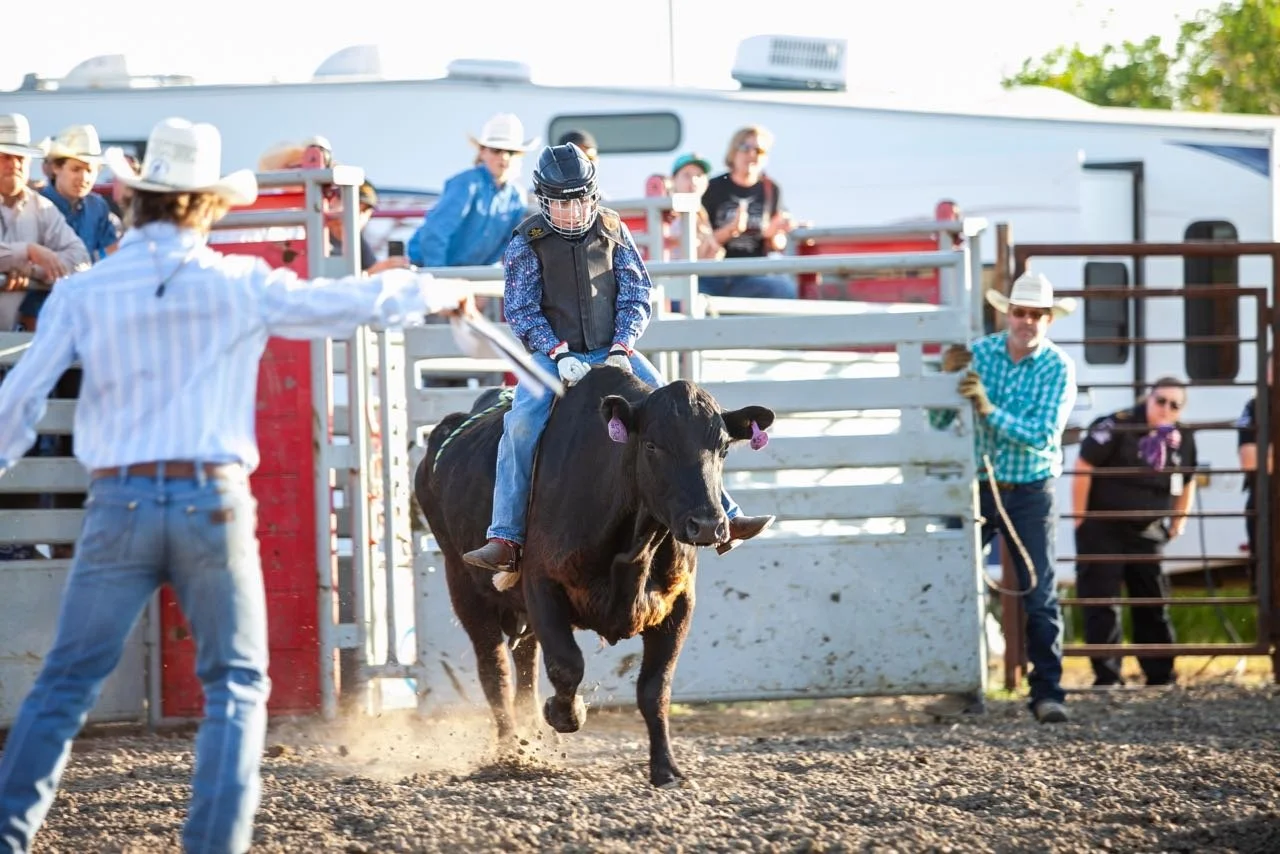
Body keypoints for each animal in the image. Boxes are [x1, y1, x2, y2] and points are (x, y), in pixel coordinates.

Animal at [414, 365, 774, 788]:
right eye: (652, 446)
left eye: (723, 449)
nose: (707, 525)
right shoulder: (542, 586)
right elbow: (567, 664)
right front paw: (565, 714)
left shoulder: (678, 603)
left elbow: (655, 688)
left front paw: (666, 769)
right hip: (465, 587)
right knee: (495, 672)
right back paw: (509, 753)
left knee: (525, 664)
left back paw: (534, 738)